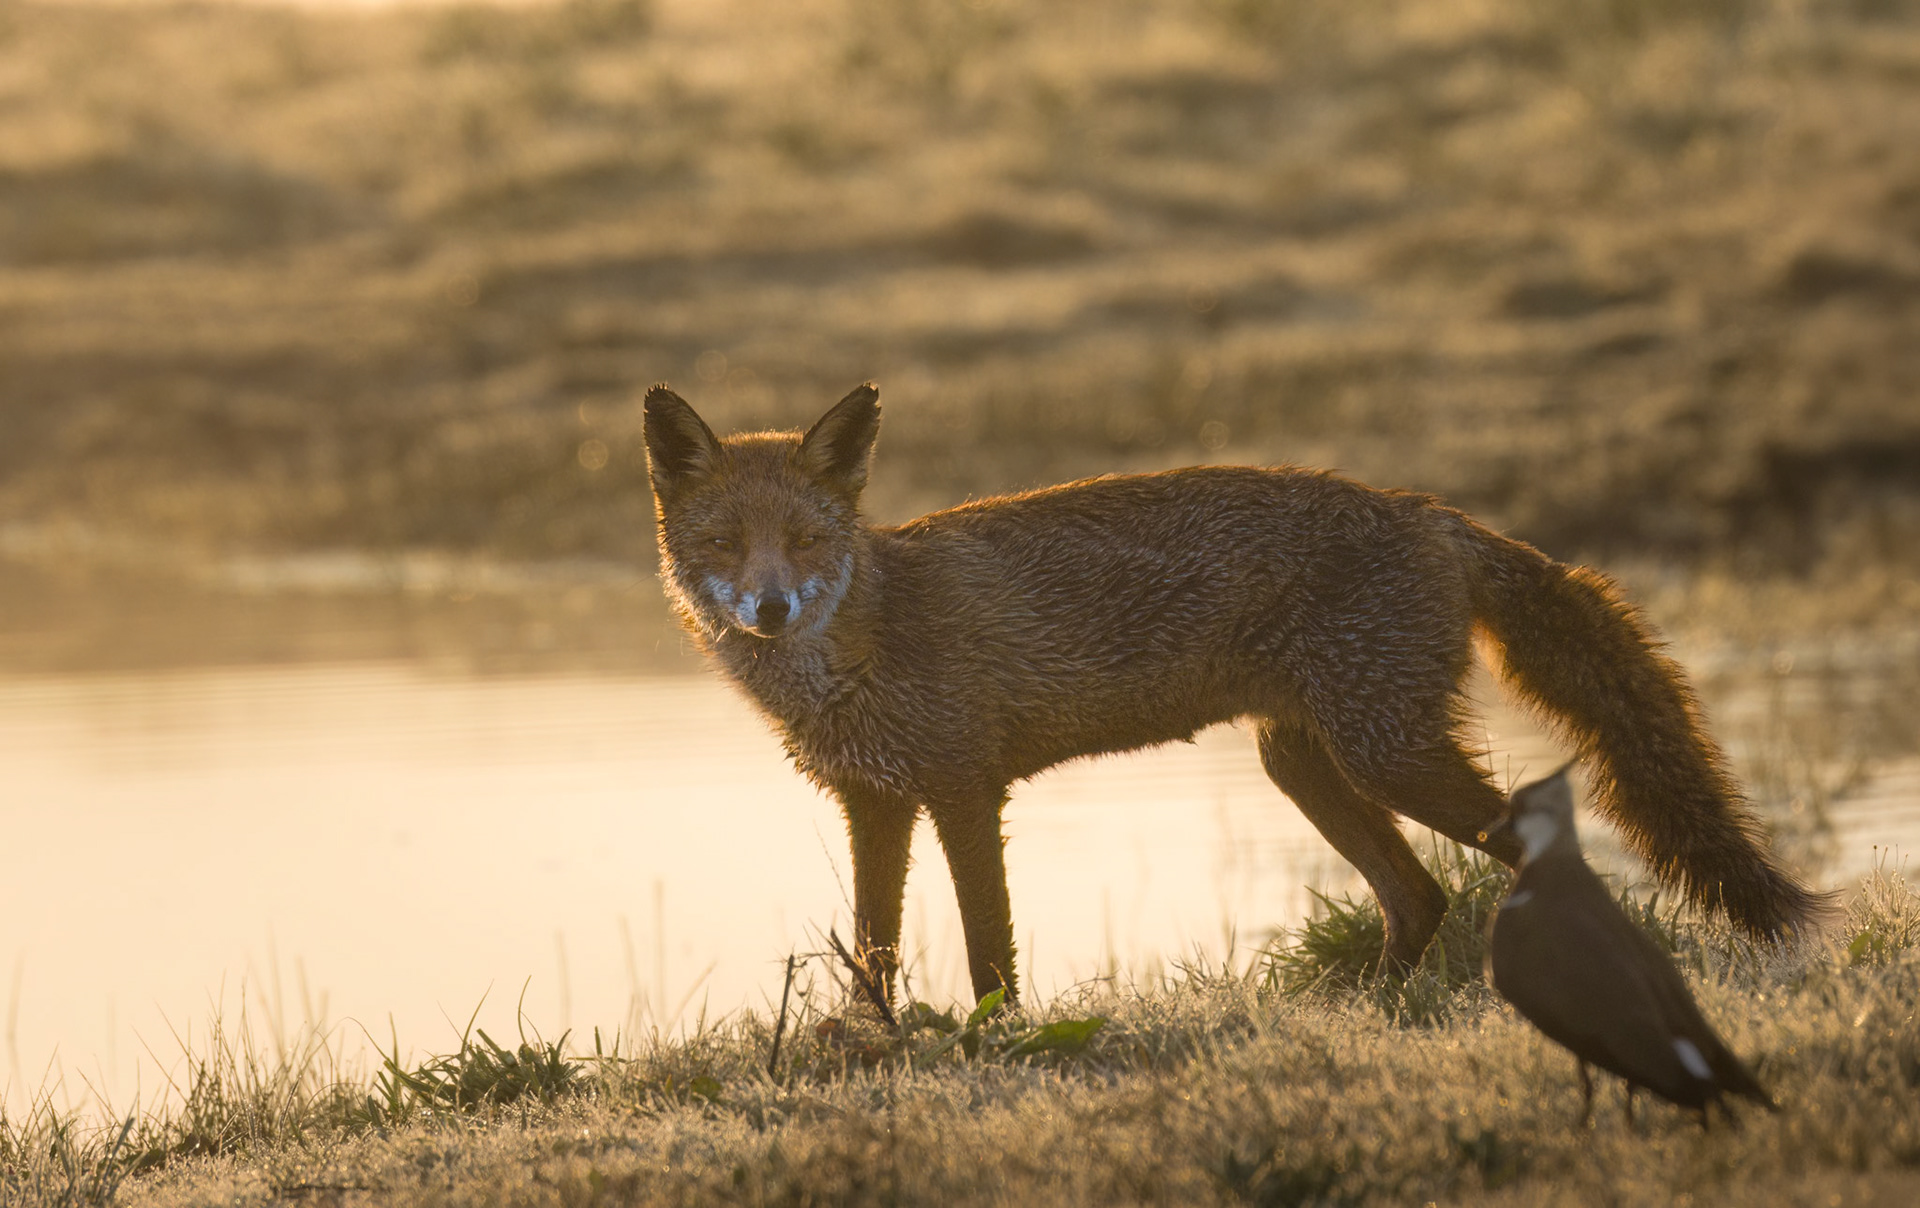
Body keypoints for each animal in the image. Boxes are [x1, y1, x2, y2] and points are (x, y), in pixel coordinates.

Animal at [642, 382, 1822, 1005]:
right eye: (723, 544)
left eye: (805, 540)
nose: (769, 609)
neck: (861, 647)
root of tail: (1431, 511)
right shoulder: (874, 802)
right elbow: (874, 951)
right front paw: (874, 1048)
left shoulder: (966, 789)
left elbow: (987, 946)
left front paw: (995, 1041)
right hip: (1304, 762)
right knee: (1420, 895)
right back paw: (1372, 1015)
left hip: (1385, 754)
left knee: (1503, 858)